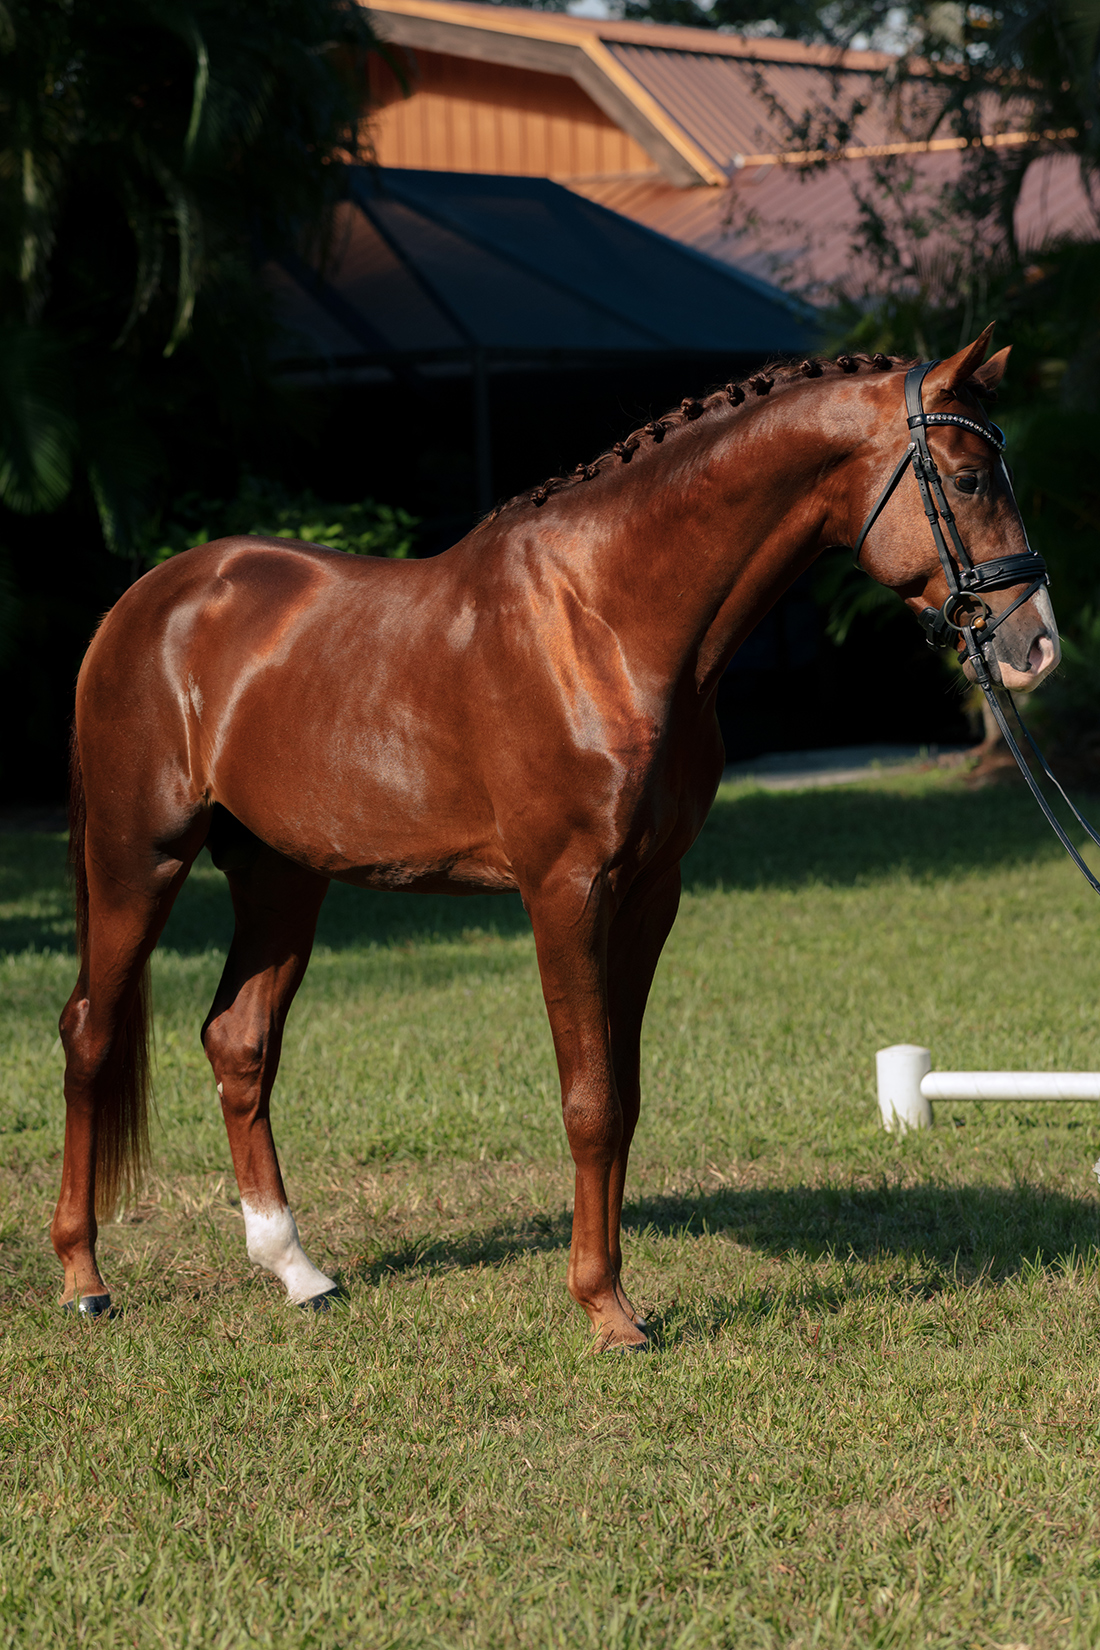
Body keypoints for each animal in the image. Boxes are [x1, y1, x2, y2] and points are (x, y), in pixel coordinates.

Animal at [53, 325, 1059, 1349]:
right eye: (969, 478)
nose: (1036, 647)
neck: (604, 622)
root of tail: (140, 605)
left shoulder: (652, 892)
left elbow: (626, 1096)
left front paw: (610, 1289)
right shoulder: (564, 890)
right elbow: (590, 1102)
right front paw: (606, 1309)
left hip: (282, 876)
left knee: (239, 1042)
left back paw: (296, 1270)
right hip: (140, 858)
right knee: (90, 1032)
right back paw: (85, 1279)